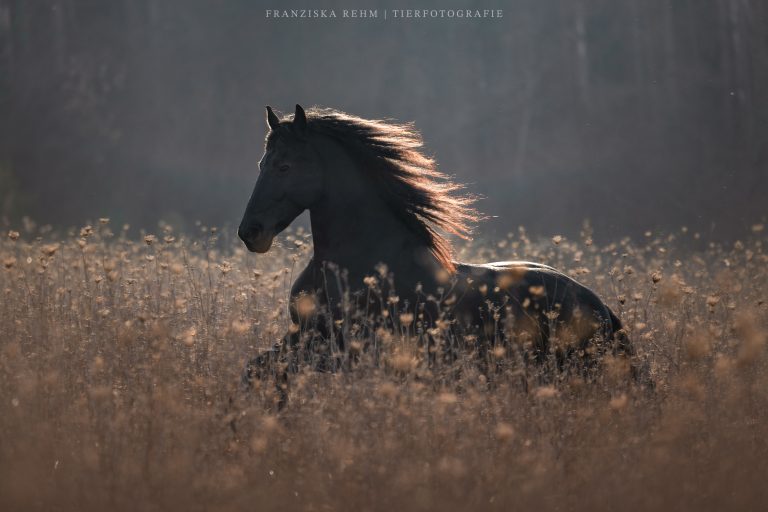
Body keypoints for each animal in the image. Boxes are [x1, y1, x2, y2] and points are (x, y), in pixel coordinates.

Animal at [237, 104, 636, 398]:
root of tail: (600, 307)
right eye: (260, 164)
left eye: (284, 166)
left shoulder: (337, 349)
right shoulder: (299, 336)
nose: (250, 233)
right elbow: (254, 371)